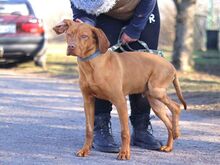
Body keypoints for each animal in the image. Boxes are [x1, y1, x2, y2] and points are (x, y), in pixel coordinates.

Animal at [53, 19, 187, 160]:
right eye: (69, 34)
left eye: (84, 36)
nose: (71, 47)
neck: (92, 64)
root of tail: (171, 66)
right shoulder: (88, 101)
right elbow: (89, 129)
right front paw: (85, 150)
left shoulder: (120, 101)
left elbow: (125, 131)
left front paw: (124, 153)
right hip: (154, 101)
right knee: (168, 122)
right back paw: (169, 146)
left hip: (156, 90)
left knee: (176, 107)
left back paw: (176, 132)